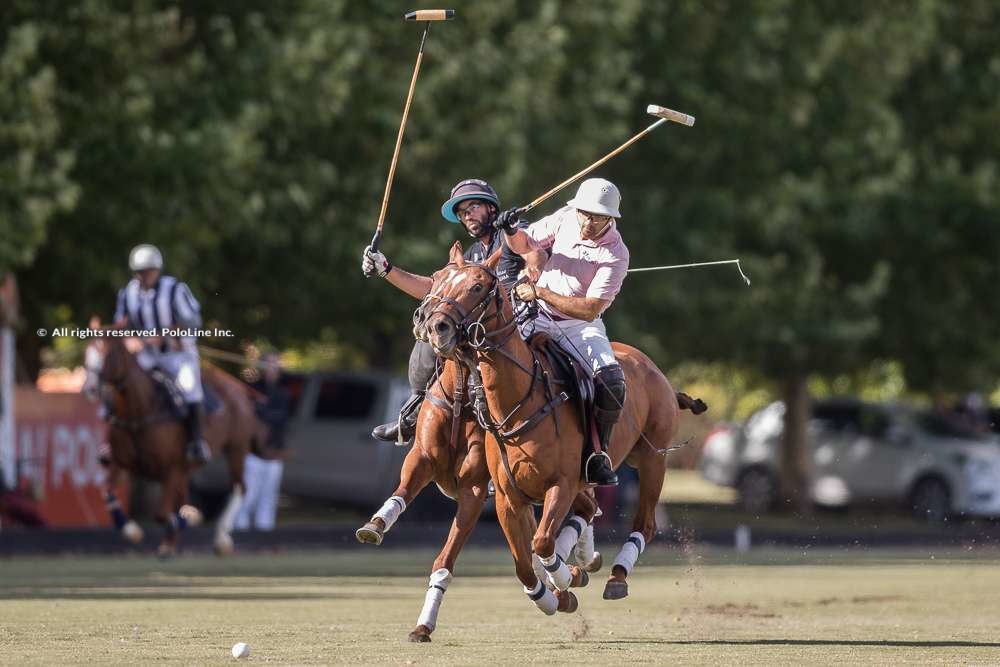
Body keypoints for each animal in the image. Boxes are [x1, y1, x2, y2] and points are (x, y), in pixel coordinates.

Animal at [85, 334, 258, 560]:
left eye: (109, 354)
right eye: (86, 353)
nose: (90, 389)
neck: (139, 415)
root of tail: (236, 385)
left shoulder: (171, 467)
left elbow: (160, 514)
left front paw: (181, 523)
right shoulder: (124, 464)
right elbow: (107, 491)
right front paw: (132, 531)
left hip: (237, 446)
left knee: (239, 487)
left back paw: (221, 539)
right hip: (189, 466)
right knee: (183, 497)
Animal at [422, 245, 696, 616]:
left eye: (477, 286)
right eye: (440, 279)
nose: (437, 327)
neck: (518, 403)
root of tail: (653, 367)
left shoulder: (561, 484)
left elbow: (541, 543)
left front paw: (563, 581)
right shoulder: (508, 498)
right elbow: (524, 563)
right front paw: (551, 595)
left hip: (654, 459)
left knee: (645, 524)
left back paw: (616, 577)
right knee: (587, 514)